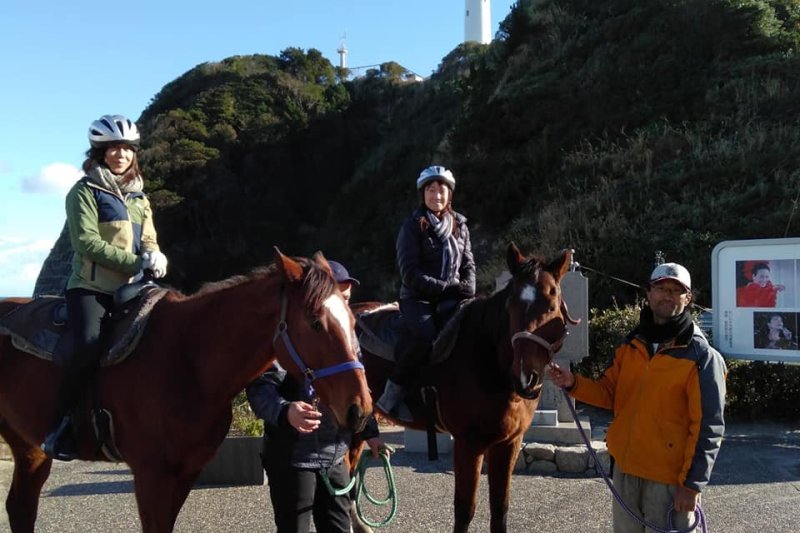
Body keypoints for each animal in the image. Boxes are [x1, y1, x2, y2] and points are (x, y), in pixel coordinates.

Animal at [0, 249, 374, 532]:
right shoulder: (151, 475)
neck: (188, 357)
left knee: (20, 506)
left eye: (351, 321)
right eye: (315, 322)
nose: (359, 408)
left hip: (30, 446)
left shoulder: (183, 474)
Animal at [354, 243, 580, 528]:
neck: (487, 361)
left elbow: (500, 507)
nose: (525, 377)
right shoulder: (468, 444)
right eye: (511, 306)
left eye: (551, 305)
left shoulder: (509, 443)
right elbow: (465, 509)